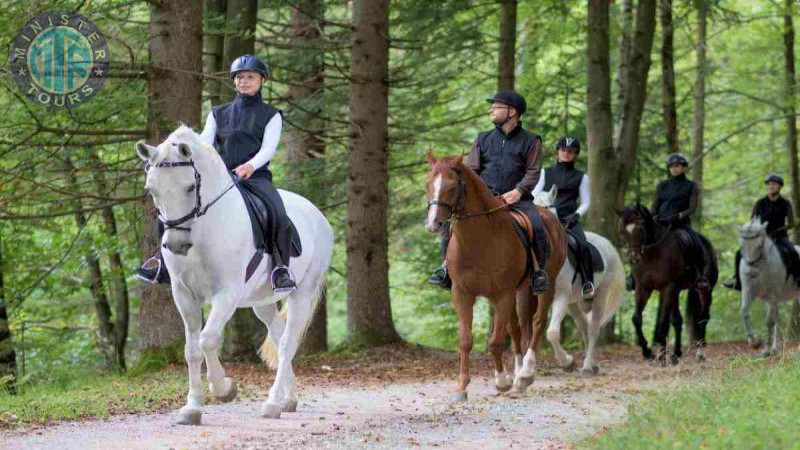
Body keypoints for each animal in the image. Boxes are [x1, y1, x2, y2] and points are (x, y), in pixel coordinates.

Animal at [136, 125, 332, 424]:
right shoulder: (184, 295)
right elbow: (191, 350)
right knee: (278, 336)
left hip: (303, 291)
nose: (177, 245)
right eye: (151, 189)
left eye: (190, 187)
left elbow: (208, 339)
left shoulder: (226, 293)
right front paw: (192, 408)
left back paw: (272, 403)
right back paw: (288, 399)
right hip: (261, 302)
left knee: (287, 343)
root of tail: (317, 214)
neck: (203, 229)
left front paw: (224, 389)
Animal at [422, 152, 564, 400]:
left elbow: (496, 341)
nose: (433, 224)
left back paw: (526, 373)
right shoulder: (462, 293)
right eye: (428, 184)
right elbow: (466, 340)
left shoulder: (502, 294)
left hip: (547, 285)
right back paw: (519, 376)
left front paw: (502, 381)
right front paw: (461, 386)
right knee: (520, 327)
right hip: (521, 290)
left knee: (537, 323)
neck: (479, 241)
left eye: (452, 186)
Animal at [536, 185, 624, 374]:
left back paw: (588, 366)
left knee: (593, 329)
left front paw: (567, 362)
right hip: (574, 304)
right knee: (584, 326)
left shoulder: (560, 297)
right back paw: (592, 364)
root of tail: (608, 245)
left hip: (599, 296)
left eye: (547, 207)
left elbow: (552, 333)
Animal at [620, 202, 720, 364]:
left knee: (702, 318)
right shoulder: (643, 288)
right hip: (677, 292)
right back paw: (676, 354)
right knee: (678, 320)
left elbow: (663, 322)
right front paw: (648, 352)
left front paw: (661, 357)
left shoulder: (668, 287)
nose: (634, 258)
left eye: (641, 228)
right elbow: (636, 319)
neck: (653, 254)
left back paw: (700, 353)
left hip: (705, 290)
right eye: (622, 231)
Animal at [736, 216, 800, 356]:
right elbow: (744, 312)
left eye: (759, 246)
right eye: (741, 246)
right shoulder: (749, 291)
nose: (751, 273)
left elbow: (769, 321)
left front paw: (766, 349)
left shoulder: (772, 296)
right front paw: (755, 342)